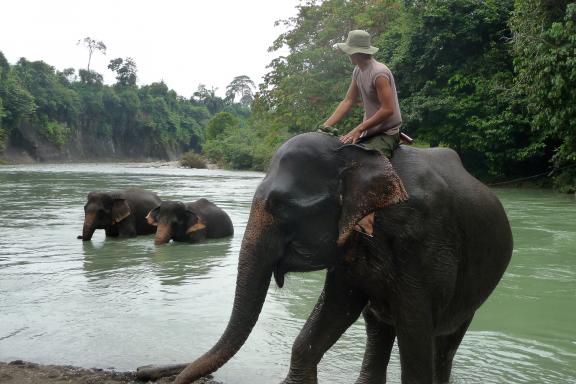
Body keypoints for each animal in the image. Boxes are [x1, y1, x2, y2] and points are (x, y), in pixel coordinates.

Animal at [138, 133, 512, 384]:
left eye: (279, 205)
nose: (169, 377)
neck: (360, 157)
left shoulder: (422, 242)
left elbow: (416, 333)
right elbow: (334, 309)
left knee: (441, 343)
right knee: (378, 327)